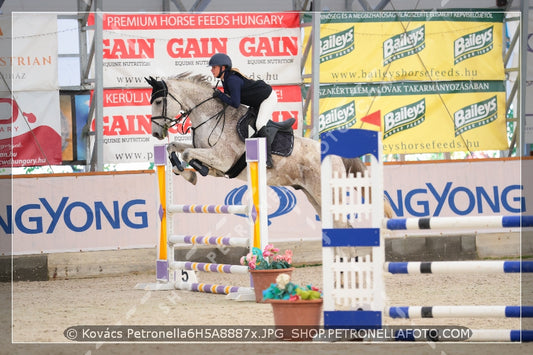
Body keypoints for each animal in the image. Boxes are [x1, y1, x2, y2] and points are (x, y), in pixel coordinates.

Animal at [145, 73, 390, 222]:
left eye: (158, 102)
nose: (156, 133)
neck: (211, 116)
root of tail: (336, 155)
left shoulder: (222, 158)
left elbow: (188, 153)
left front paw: (195, 172)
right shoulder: (209, 154)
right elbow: (174, 148)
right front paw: (187, 172)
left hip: (325, 192)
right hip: (312, 195)